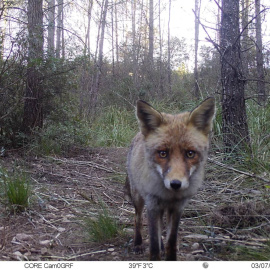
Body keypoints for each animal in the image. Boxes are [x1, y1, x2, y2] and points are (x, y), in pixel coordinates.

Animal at [124, 98, 215, 260]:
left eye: (190, 154)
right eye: (163, 153)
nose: (175, 184)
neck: (168, 195)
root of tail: (139, 134)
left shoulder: (177, 207)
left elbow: (171, 242)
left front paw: (170, 256)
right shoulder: (153, 205)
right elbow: (153, 245)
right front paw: (155, 255)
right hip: (138, 198)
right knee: (137, 220)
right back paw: (138, 243)